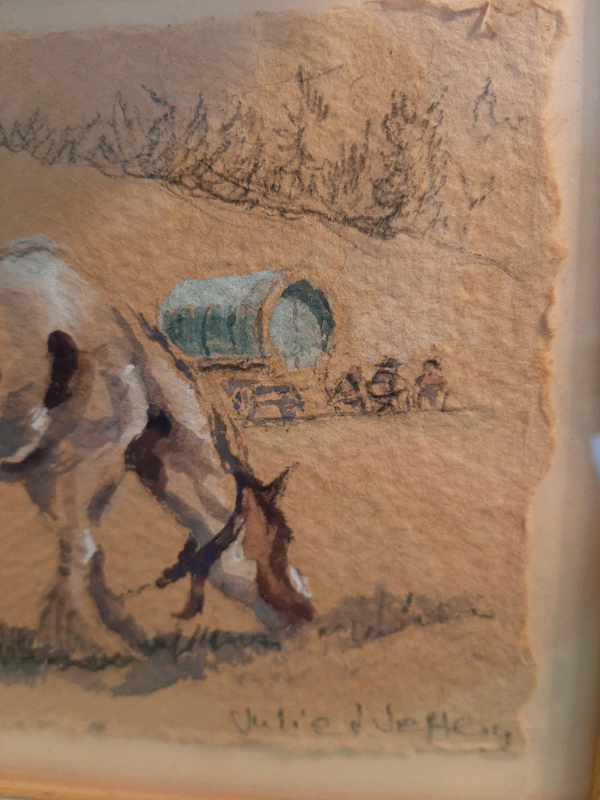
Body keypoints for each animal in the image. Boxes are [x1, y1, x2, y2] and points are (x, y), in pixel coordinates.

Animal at [0, 236, 314, 656]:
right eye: (281, 541)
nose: (307, 611)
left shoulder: (65, 477)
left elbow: (90, 554)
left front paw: (120, 632)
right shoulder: (70, 468)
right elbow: (81, 551)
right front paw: (92, 644)